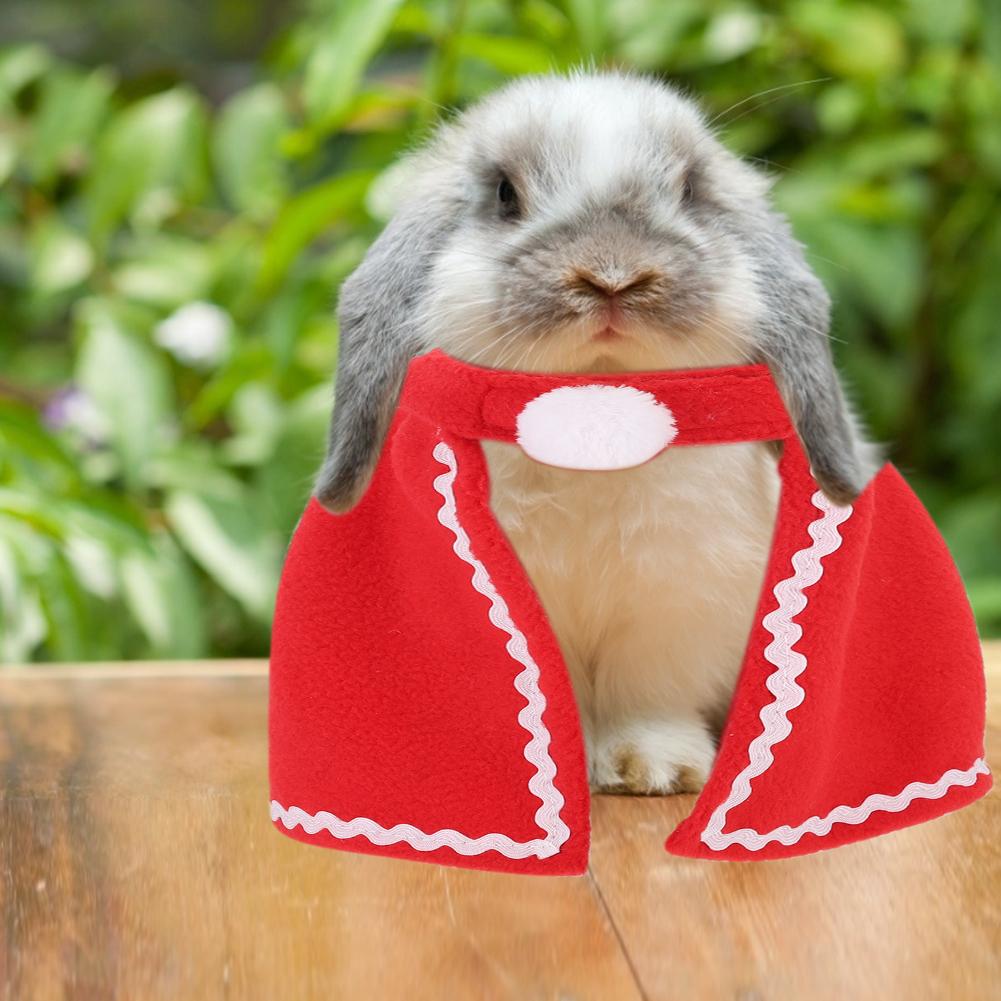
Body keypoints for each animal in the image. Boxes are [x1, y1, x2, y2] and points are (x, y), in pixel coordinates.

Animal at [315, 71, 876, 796]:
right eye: (505, 194)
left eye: (690, 190)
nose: (612, 276)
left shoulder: (674, 608)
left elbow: (647, 693)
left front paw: (654, 769)